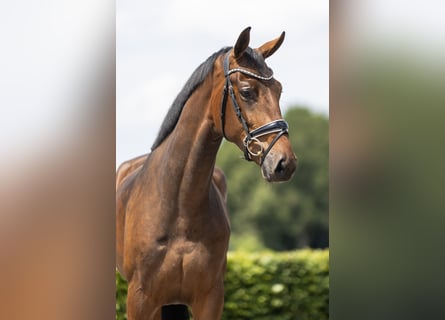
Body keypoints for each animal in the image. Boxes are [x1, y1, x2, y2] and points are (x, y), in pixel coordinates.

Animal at [116, 27, 296, 320]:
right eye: (247, 91)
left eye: (279, 90)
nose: (284, 163)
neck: (179, 206)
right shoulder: (139, 300)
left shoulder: (210, 298)